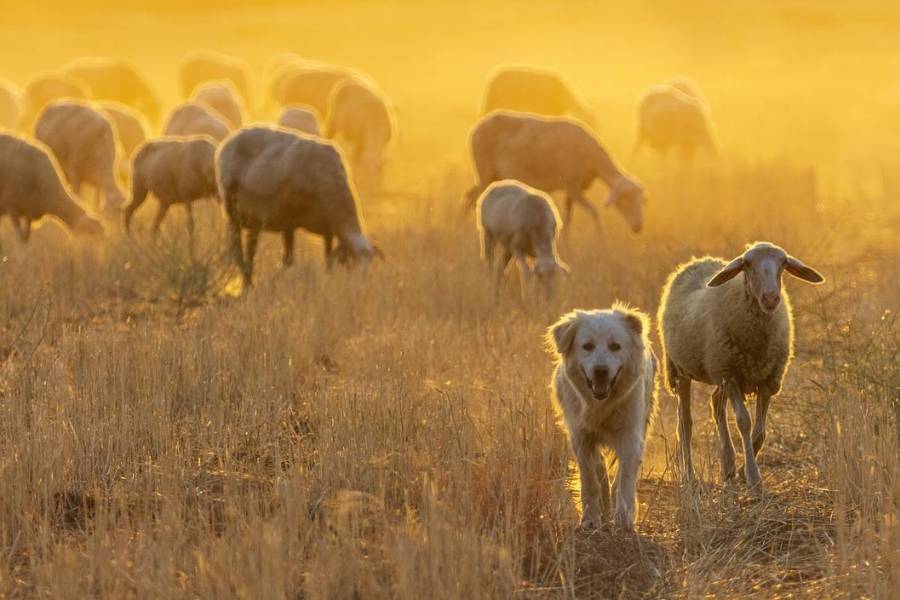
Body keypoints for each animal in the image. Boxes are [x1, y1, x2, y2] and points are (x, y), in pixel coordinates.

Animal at [216, 124, 382, 284]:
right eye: (353, 262)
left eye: (370, 264)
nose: (359, 285)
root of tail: (229, 140)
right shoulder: (288, 220)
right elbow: (288, 260)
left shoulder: (327, 229)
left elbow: (328, 258)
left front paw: (328, 278)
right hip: (233, 212)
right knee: (237, 251)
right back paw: (247, 284)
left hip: (254, 219)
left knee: (250, 249)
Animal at [464, 110, 648, 234]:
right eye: (624, 200)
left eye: (640, 200)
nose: (638, 227)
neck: (592, 160)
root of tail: (474, 130)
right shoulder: (573, 186)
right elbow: (594, 212)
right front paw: (602, 243)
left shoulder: (572, 189)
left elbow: (568, 219)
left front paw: (567, 246)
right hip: (484, 170)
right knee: (471, 198)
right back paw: (461, 230)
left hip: (493, 175)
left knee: (470, 195)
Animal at [544, 304, 656, 528]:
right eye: (587, 346)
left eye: (615, 346)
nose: (601, 371)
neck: (601, 404)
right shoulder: (581, 435)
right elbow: (590, 478)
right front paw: (590, 518)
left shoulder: (631, 434)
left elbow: (625, 479)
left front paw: (624, 520)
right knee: (599, 467)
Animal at [656, 241, 828, 490]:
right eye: (748, 264)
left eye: (783, 263)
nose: (770, 299)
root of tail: (698, 261)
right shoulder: (732, 376)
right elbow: (744, 422)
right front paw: (754, 478)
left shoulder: (768, 380)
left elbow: (760, 433)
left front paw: (740, 470)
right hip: (683, 370)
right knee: (685, 423)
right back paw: (689, 475)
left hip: (718, 371)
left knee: (715, 402)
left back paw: (728, 465)